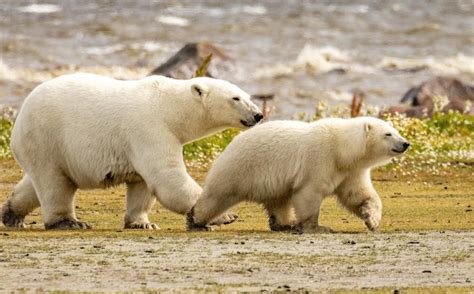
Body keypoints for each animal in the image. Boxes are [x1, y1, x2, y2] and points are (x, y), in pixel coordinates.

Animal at [0, 72, 262, 229]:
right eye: (235, 98)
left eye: (248, 95)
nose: (258, 115)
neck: (169, 107)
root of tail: (21, 113)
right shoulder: (150, 129)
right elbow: (168, 179)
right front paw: (225, 216)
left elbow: (142, 185)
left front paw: (142, 223)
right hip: (47, 136)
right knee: (54, 184)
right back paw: (69, 222)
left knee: (39, 182)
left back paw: (11, 214)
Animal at [187, 116, 410, 233]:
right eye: (388, 134)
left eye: (397, 131)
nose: (406, 143)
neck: (342, 149)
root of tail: (229, 145)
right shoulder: (319, 159)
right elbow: (309, 192)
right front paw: (318, 227)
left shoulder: (350, 171)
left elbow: (358, 195)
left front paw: (372, 219)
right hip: (241, 168)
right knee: (217, 196)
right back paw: (198, 221)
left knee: (279, 201)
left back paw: (284, 224)